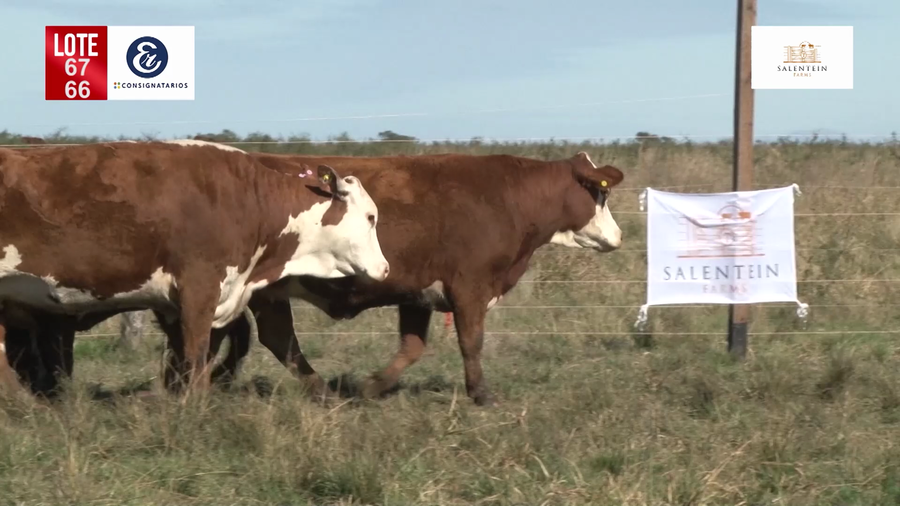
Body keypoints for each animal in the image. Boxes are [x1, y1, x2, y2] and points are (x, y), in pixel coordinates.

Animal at [0, 141, 389, 397]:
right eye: (371, 217)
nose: (385, 269)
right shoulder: (199, 289)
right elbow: (197, 355)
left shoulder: (183, 303)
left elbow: (190, 360)